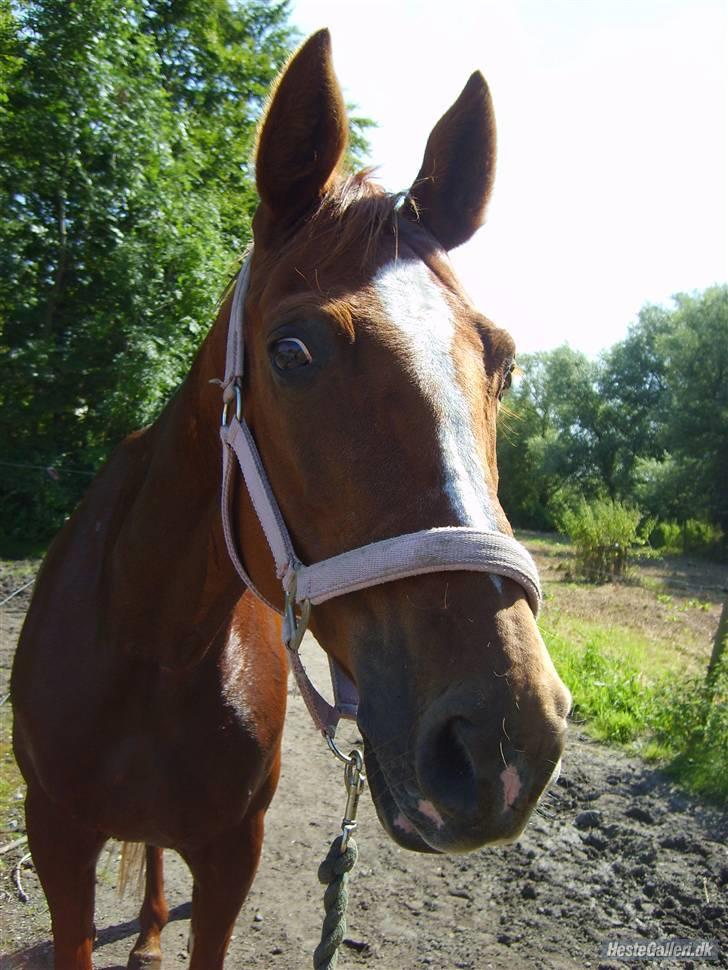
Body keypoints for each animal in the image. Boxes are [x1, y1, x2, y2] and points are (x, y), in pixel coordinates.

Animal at [8, 28, 572, 968]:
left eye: (503, 359)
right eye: (292, 352)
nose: (503, 738)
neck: (148, 648)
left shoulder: (233, 851)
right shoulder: (55, 841)